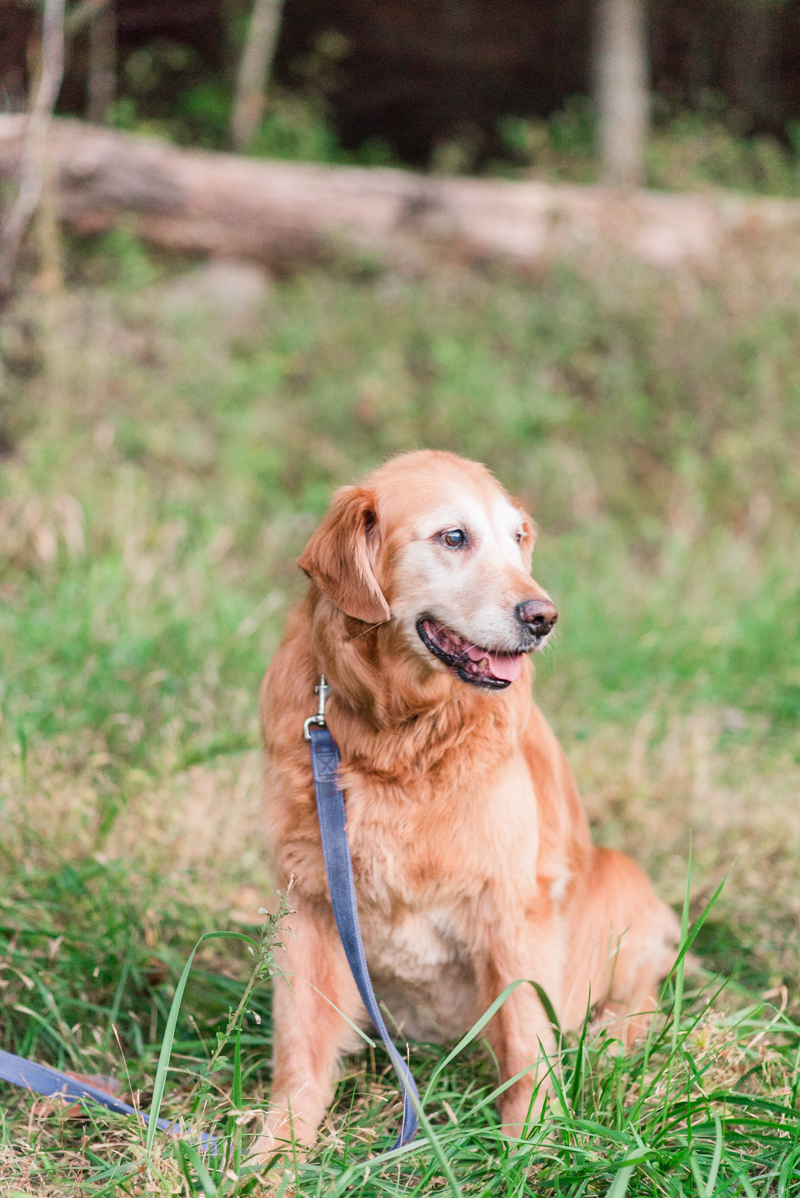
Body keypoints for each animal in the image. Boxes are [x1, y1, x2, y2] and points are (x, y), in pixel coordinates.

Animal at [252, 448, 680, 1150]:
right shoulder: (311, 899)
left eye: (518, 538)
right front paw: (274, 1153)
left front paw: (529, 1146)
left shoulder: (511, 906)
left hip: (620, 878)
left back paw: (612, 1042)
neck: (400, 733)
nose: (544, 616)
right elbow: (300, 1052)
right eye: (454, 537)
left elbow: (527, 1042)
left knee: (640, 997)